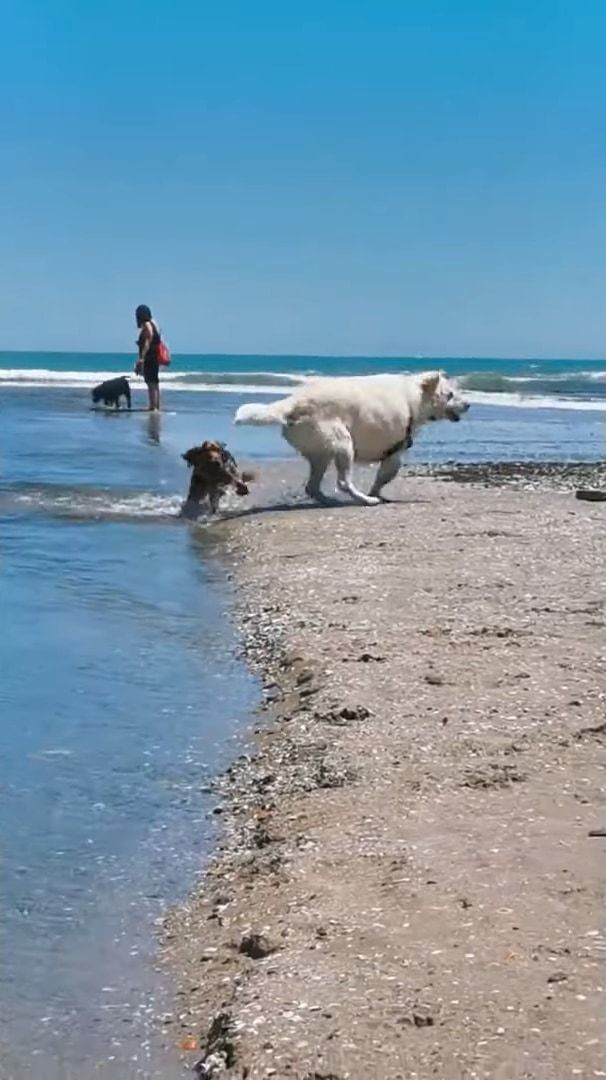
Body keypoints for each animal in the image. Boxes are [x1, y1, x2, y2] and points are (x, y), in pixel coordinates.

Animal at [231, 371, 468, 505]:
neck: (413, 397)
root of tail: (293, 403)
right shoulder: (394, 453)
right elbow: (384, 476)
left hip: (321, 453)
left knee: (312, 486)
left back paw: (328, 500)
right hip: (344, 444)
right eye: (450, 395)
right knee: (343, 482)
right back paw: (366, 500)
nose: (468, 405)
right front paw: (376, 494)